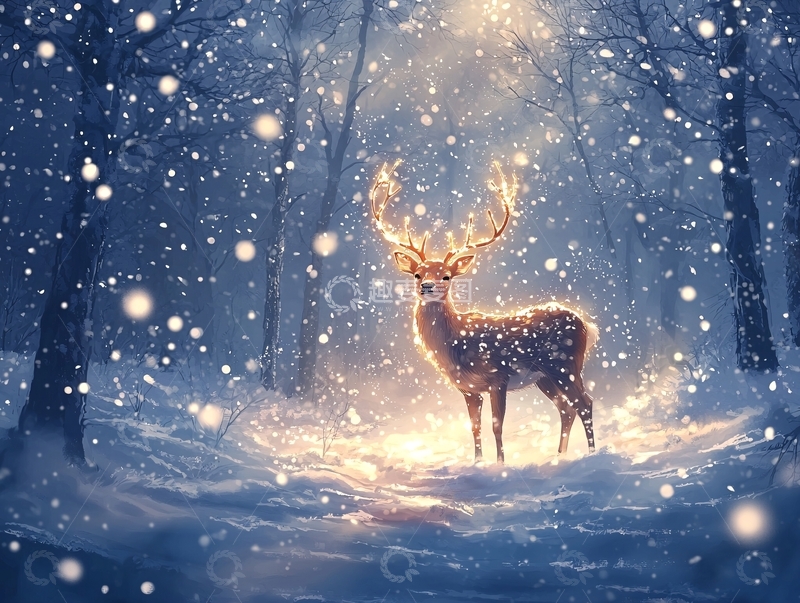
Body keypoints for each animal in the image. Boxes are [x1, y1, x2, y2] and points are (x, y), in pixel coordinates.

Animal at [369, 160, 599, 464]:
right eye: (418, 274)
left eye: (446, 276)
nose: (427, 286)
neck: (455, 345)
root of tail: (586, 325)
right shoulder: (468, 389)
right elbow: (474, 426)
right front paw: (478, 462)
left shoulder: (497, 377)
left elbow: (496, 425)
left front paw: (500, 464)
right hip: (544, 378)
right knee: (566, 407)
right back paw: (558, 456)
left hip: (565, 364)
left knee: (584, 402)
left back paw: (593, 454)